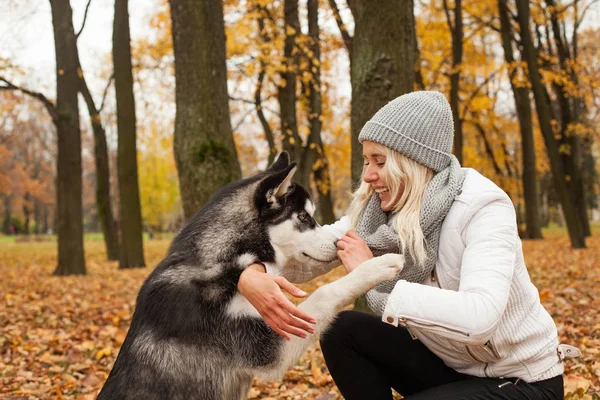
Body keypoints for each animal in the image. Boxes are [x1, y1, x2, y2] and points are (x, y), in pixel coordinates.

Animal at [98, 154, 404, 400]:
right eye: (304, 217)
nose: (338, 242)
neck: (221, 262)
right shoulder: (272, 343)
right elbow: (325, 292)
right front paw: (379, 265)